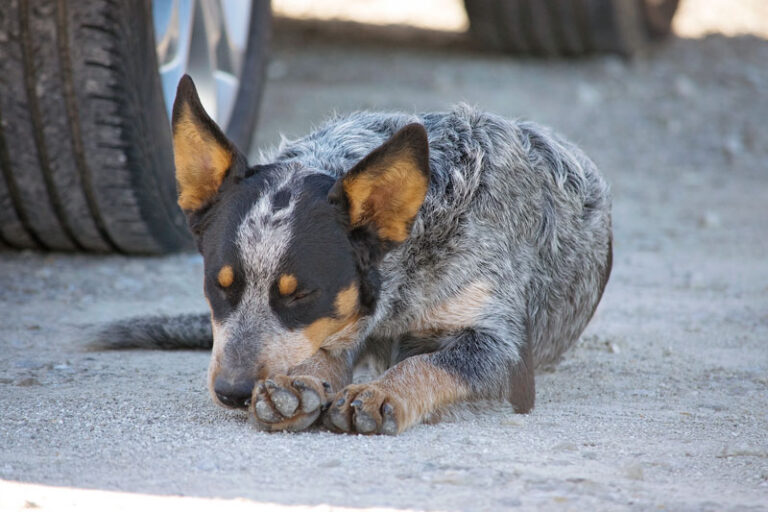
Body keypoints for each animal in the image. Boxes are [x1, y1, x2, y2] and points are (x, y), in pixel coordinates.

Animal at [94, 75, 612, 436]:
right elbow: (327, 350)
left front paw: (382, 393)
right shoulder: (350, 325)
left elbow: (429, 363)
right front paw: (299, 384)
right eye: (218, 287)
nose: (233, 392)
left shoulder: (507, 351)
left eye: (301, 295)